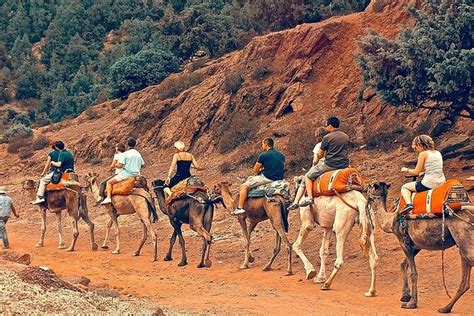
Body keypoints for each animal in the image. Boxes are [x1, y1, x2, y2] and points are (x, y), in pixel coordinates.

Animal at [364, 181, 472, 312]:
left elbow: (413, 273)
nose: (364, 186)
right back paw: (445, 308)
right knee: (465, 281)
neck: (390, 220)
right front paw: (405, 295)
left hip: (463, 237)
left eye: (371, 186)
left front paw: (411, 303)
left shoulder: (404, 241)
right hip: (462, 245)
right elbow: (403, 265)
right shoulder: (416, 245)